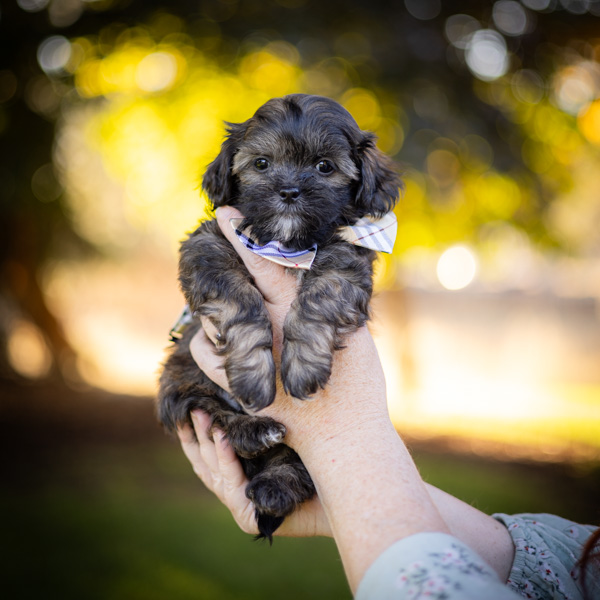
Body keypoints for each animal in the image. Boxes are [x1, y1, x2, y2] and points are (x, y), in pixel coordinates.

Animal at [157, 94, 400, 540]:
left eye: (324, 166)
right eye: (261, 164)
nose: (289, 191)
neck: (288, 247)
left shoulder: (348, 258)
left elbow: (322, 293)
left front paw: (303, 366)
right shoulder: (207, 248)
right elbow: (240, 301)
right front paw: (254, 372)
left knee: (297, 467)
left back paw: (275, 487)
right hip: (178, 380)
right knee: (213, 414)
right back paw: (256, 431)